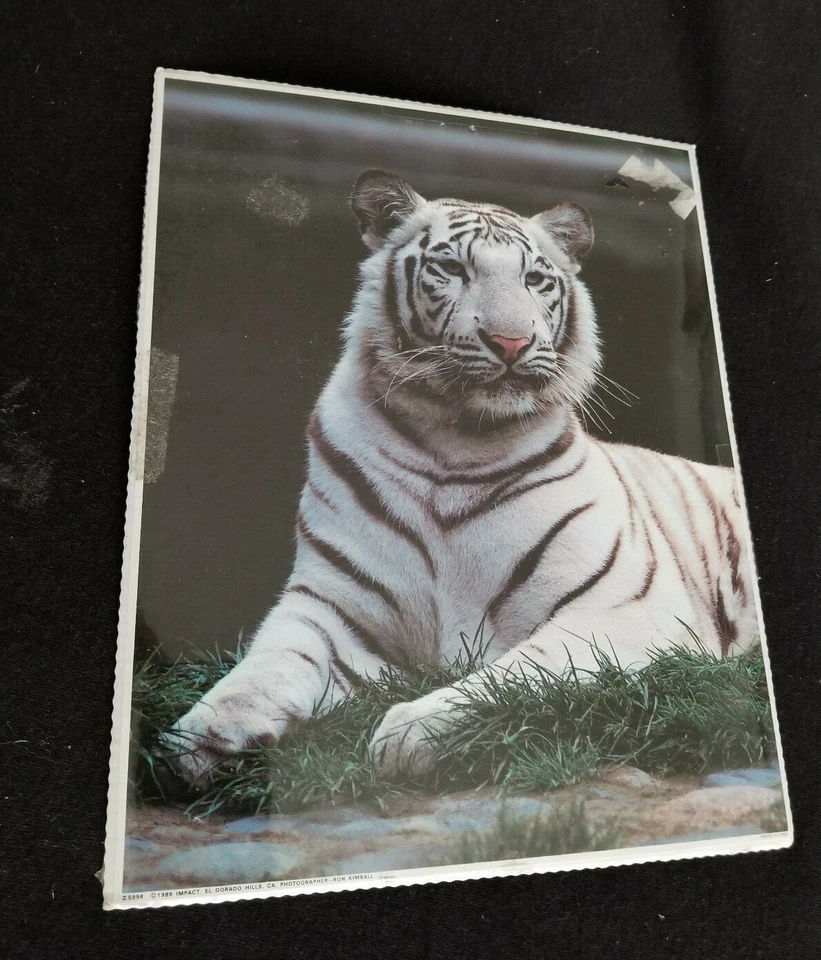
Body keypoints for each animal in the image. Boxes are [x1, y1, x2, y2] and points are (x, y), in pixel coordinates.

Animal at [165, 168, 757, 782]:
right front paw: (203, 736)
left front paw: (406, 733)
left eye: (535, 279)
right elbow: (274, 658)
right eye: (451, 269)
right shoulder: (331, 604)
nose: (511, 341)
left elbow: (523, 670)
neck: (455, 445)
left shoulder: (624, 606)